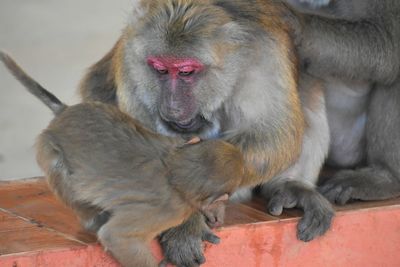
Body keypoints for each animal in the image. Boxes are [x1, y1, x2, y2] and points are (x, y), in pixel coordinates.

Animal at [0, 51, 256, 266]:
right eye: (223, 198)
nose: (218, 216)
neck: (173, 166)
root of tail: (65, 112)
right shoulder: (169, 210)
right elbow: (117, 237)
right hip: (48, 147)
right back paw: (92, 219)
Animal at [79, 1, 332, 266]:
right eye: (160, 70)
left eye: (186, 73)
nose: (172, 106)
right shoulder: (131, 61)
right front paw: (183, 222)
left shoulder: (263, 57)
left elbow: (274, 132)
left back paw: (289, 187)